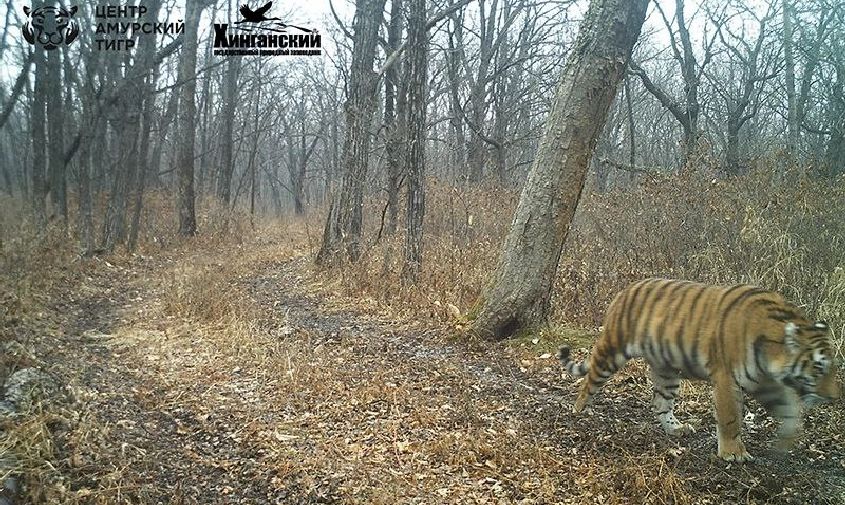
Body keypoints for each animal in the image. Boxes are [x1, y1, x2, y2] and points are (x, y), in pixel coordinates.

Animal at [556, 278, 840, 462]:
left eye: (833, 368)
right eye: (818, 368)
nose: (835, 397)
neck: (771, 357)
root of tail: (625, 290)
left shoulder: (767, 383)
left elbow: (790, 411)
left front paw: (785, 443)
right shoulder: (727, 378)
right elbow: (730, 417)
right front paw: (733, 454)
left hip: (667, 370)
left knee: (660, 404)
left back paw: (676, 429)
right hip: (612, 351)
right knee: (589, 381)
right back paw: (580, 410)